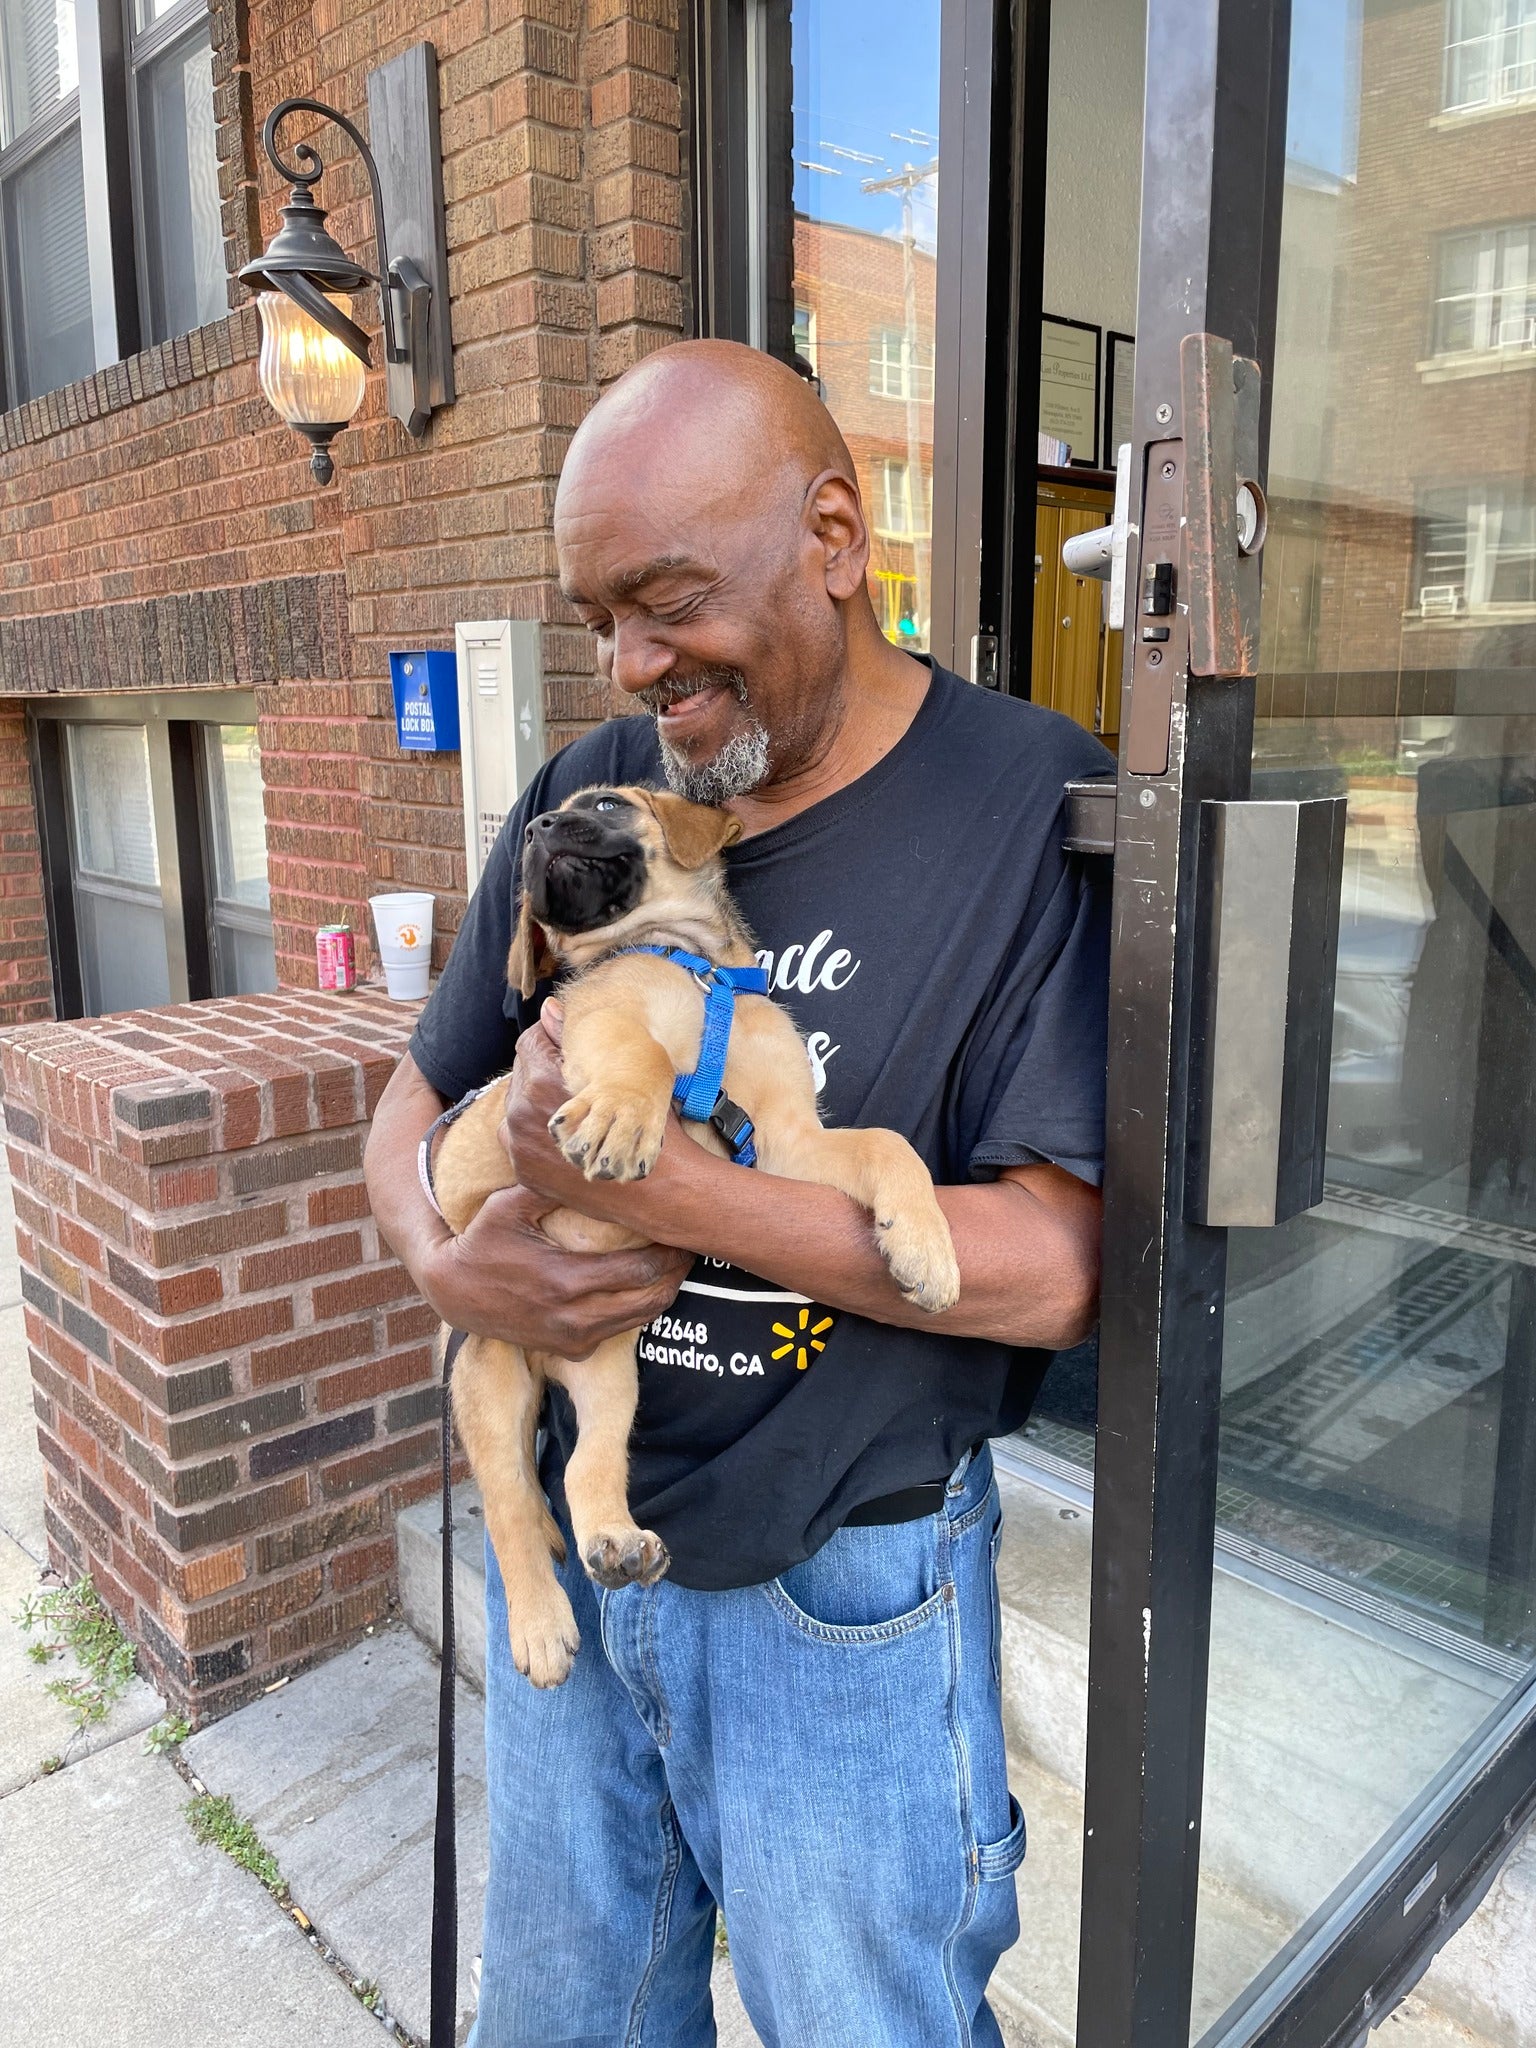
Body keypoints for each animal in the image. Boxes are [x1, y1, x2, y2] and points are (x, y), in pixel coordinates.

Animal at [430, 778, 962, 1679]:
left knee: (585, 1470)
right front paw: (621, 1116)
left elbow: (888, 1144)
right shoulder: (597, 1026)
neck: (692, 964)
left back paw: (617, 1544)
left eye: (609, 804)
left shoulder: (785, 1141)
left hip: (612, 1380)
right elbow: (640, 1056)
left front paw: (925, 1248)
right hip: (489, 1375)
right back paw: (539, 1625)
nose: (535, 826)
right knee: (506, 1502)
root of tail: (544, 1361)